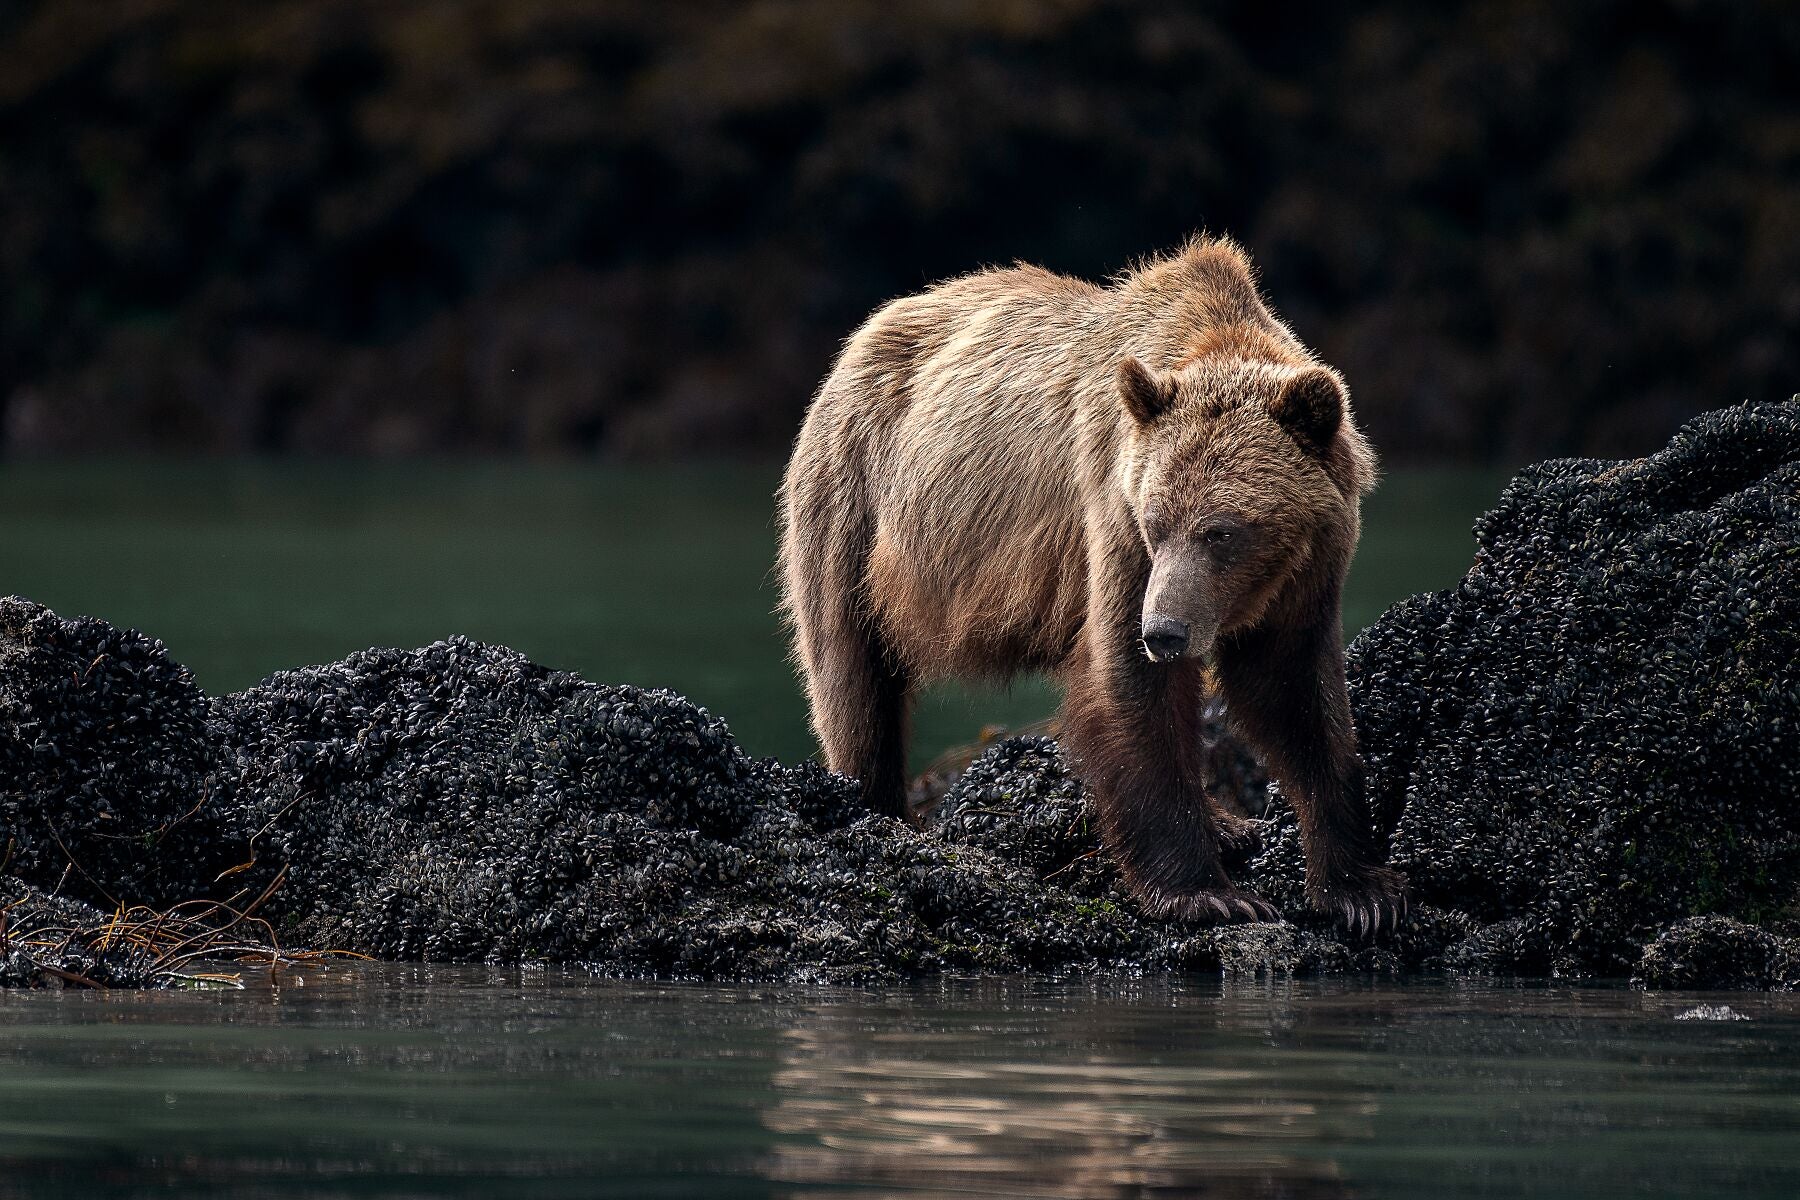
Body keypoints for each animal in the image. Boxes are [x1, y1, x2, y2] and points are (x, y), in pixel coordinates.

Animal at [781, 232, 1411, 928]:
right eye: (1156, 523)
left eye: (1221, 531)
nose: (1165, 631)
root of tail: (868, 331)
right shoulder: (1112, 516)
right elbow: (1129, 685)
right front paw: (1207, 892)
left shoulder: (1306, 576)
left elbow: (1296, 692)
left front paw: (1361, 891)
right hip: (854, 497)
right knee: (853, 675)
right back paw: (873, 810)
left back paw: (1228, 822)